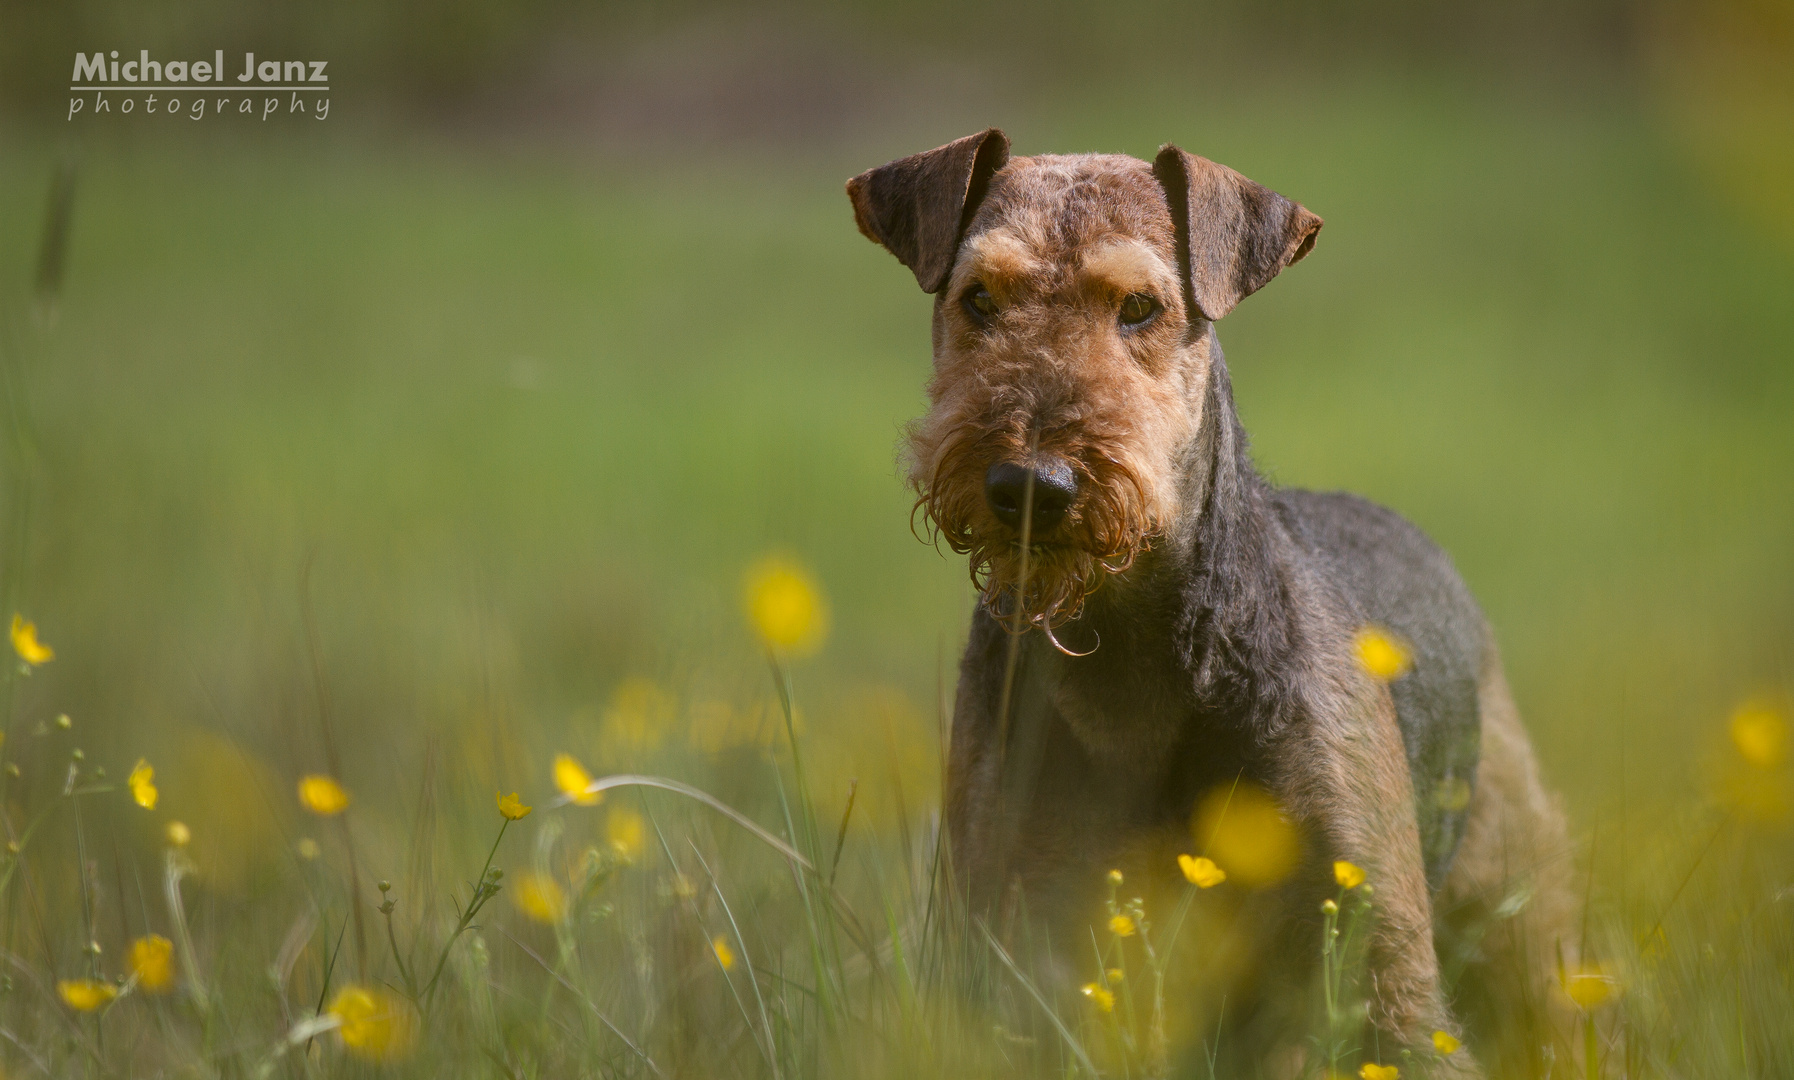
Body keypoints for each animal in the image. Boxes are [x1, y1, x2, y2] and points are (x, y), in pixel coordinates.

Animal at [850, 130, 1571, 1069]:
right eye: (979, 297)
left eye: (1139, 306)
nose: (1031, 486)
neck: (1126, 656)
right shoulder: (1012, 936)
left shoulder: (1386, 972)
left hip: (1517, 907)